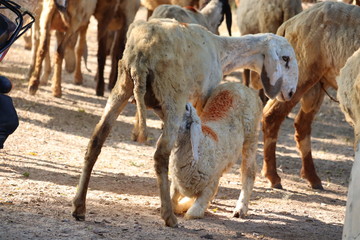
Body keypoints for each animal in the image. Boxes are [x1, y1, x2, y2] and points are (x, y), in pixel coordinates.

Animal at [169, 82, 262, 219]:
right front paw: (183, 204)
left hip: (251, 136)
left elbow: (192, 213)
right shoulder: (176, 184)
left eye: (185, 109)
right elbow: (172, 203)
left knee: (249, 172)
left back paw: (240, 209)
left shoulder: (210, 185)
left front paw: (188, 206)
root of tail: (240, 85)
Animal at [262, 1, 360, 189]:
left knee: (302, 124)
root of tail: (289, 24)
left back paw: (312, 177)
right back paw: (273, 177)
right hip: (300, 77)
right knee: (271, 115)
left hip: (316, 86)